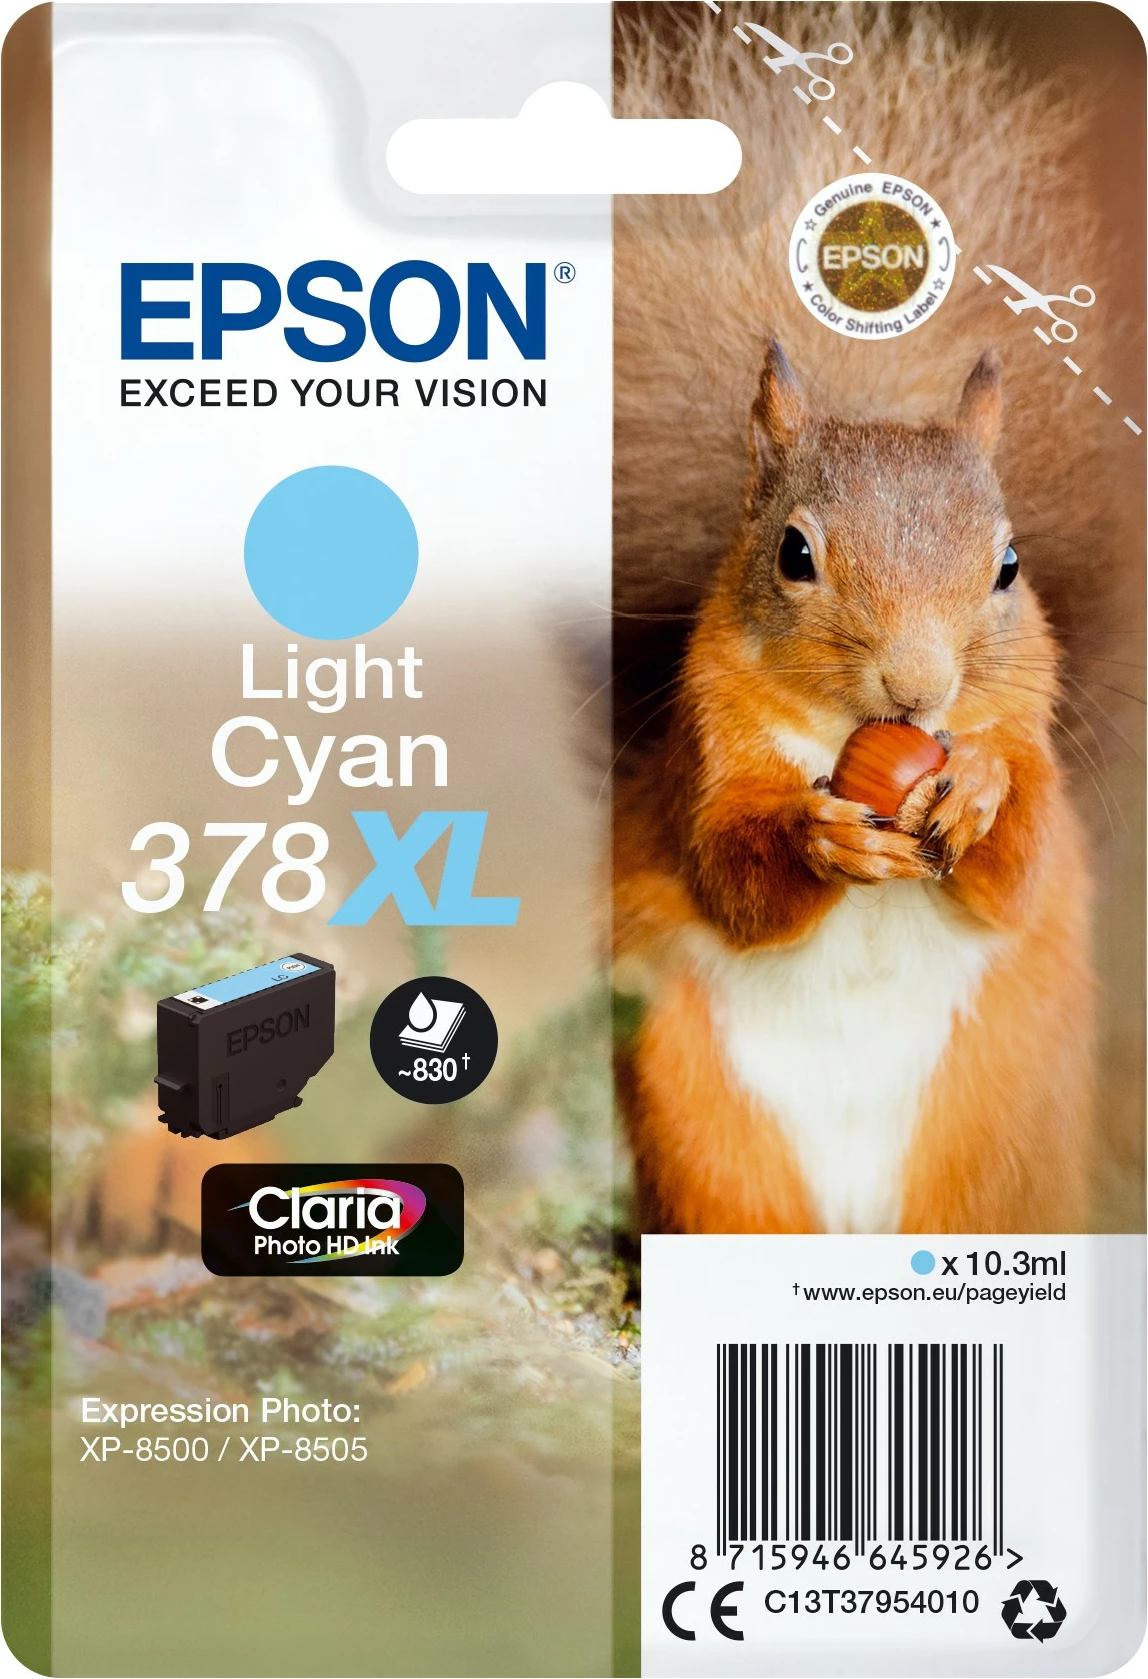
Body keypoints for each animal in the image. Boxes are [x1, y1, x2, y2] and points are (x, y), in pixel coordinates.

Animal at [610, 4, 1141, 1235]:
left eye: (1008, 566)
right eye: (793, 554)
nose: (918, 688)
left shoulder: (1033, 745)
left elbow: (1021, 862)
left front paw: (979, 790)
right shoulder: (706, 755)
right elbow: (730, 871)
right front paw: (822, 836)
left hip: (997, 1136)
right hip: (703, 1127)